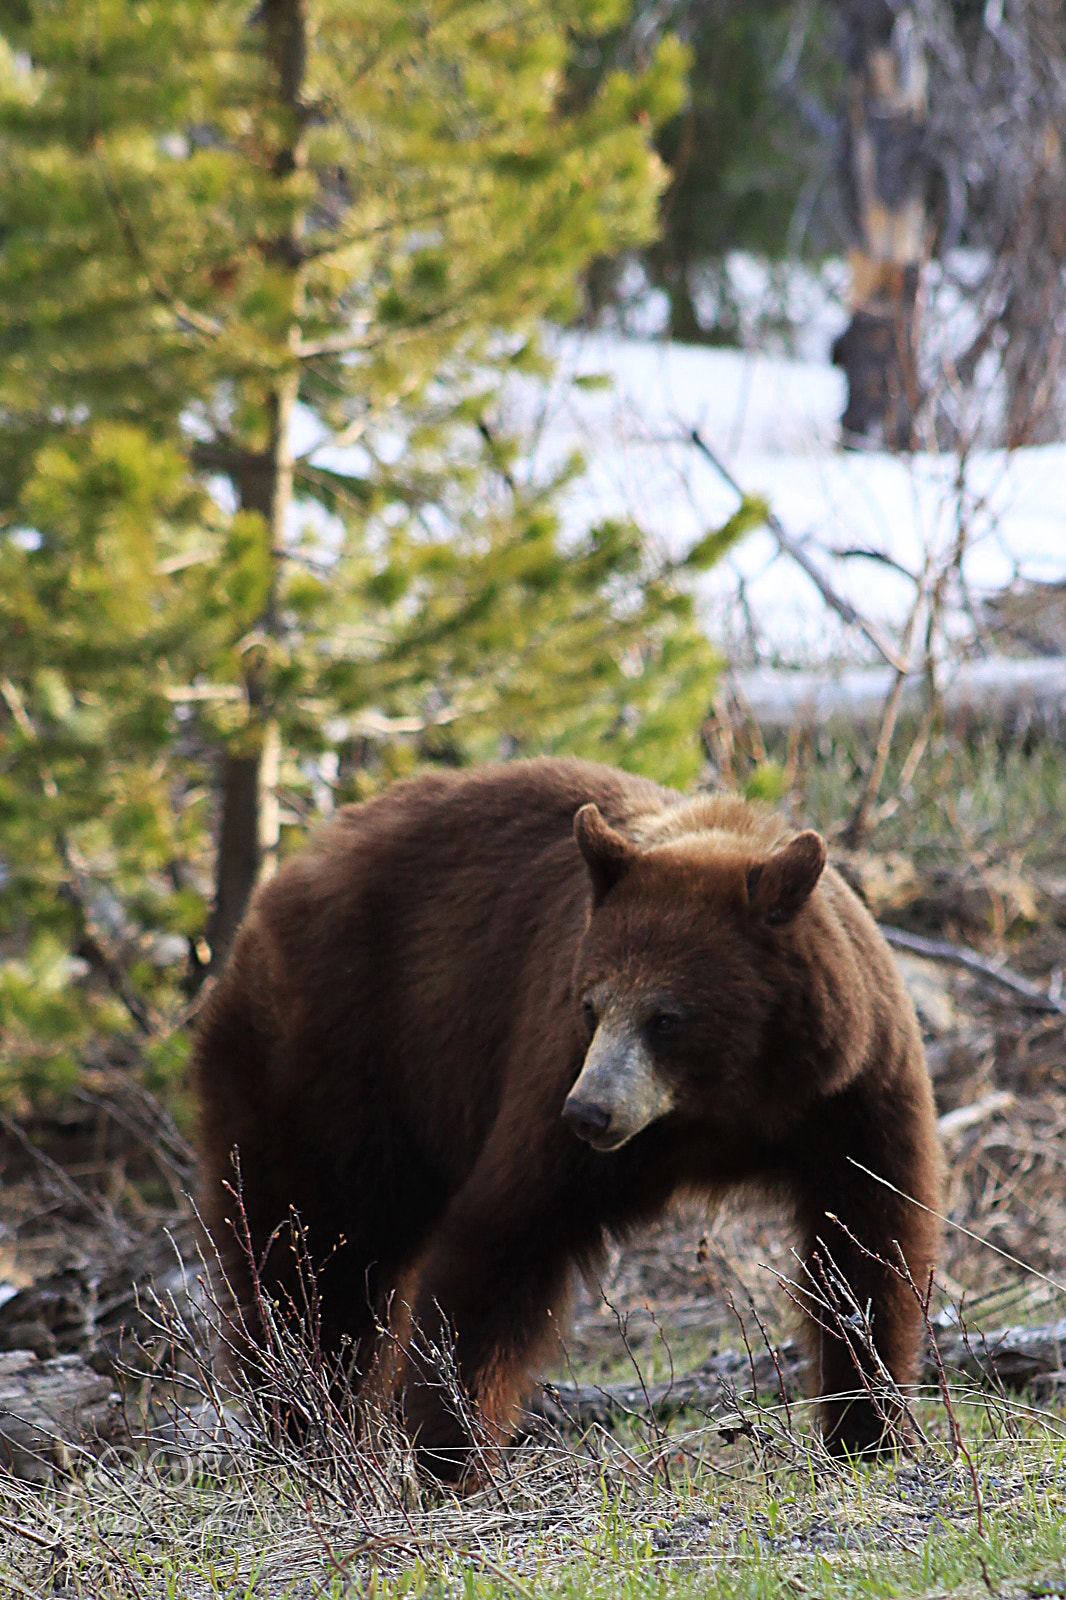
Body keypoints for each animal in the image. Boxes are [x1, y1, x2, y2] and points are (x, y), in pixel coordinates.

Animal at [193, 756, 942, 1476]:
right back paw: (304, 1422)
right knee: (310, 1250)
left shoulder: (853, 1091)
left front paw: (869, 1430)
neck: (727, 1105)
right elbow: (501, 1239)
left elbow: (869, 1243)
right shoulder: (553, 1077)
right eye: (590, 1004)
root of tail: (277, 890)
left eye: (666, 1017)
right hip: (341, 1063)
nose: (588, 1113)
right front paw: (449, 1451)